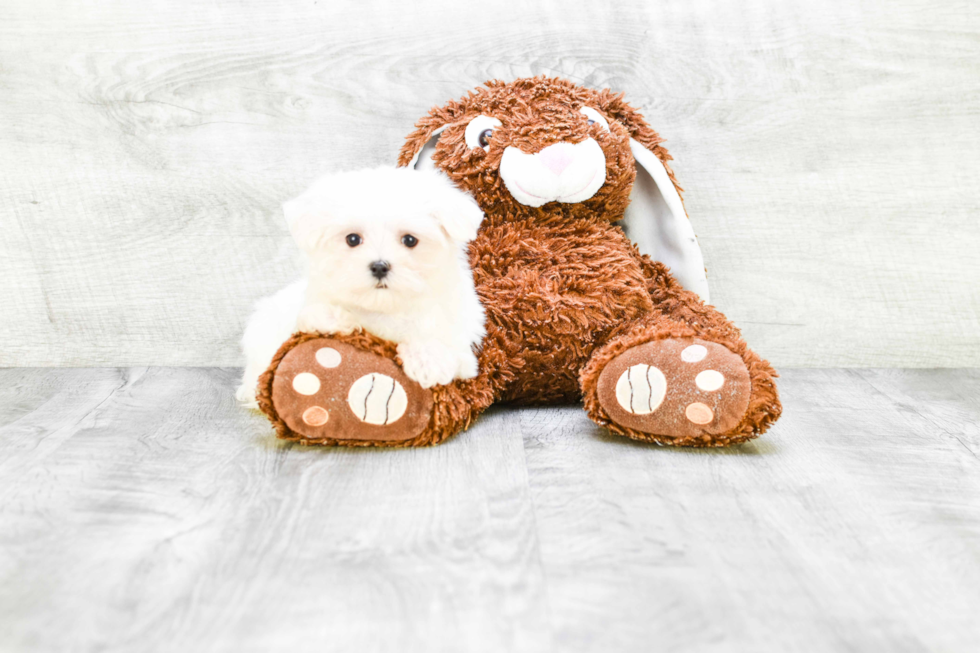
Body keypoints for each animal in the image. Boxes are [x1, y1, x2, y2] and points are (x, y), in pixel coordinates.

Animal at [234, 166, 486, 404]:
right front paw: (331, 317)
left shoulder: (463, 351)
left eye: (410, 240)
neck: (384, 309)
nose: (379, 266)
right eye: (352, 239)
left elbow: (439, 341)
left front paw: (427, 361)